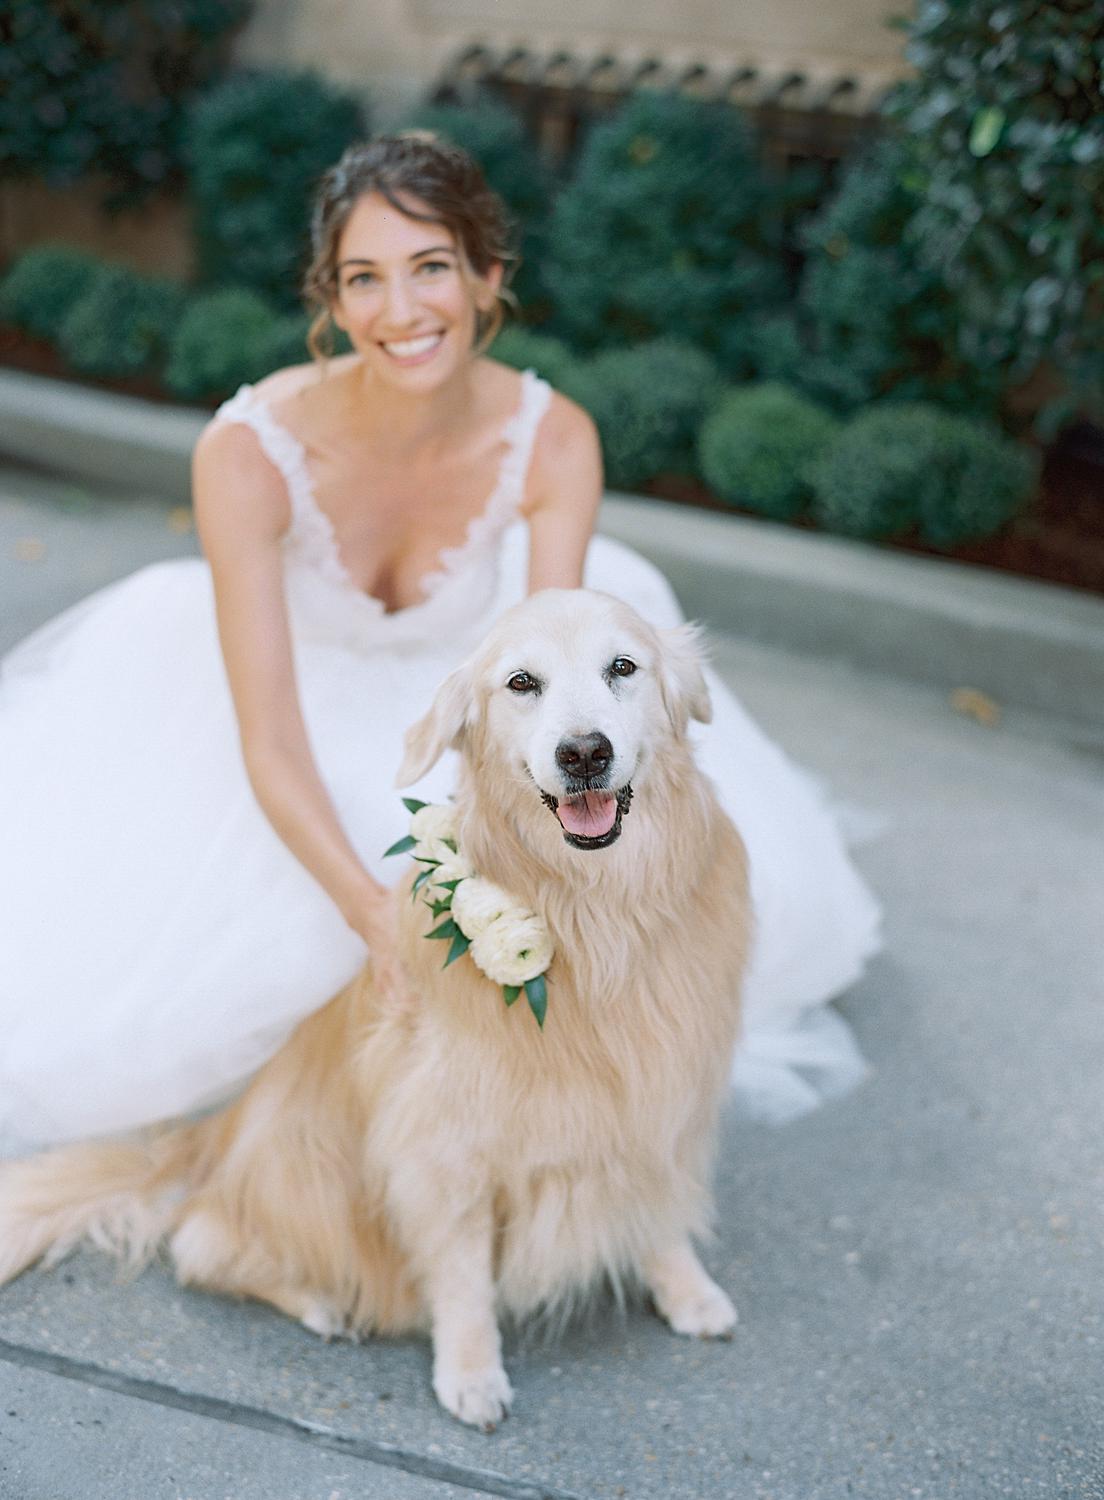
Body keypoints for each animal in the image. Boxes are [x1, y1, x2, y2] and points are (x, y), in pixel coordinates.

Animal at [0, 585, 750, 1428]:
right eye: (522, 683)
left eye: (623, 667)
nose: (583, 752)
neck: (601, 912)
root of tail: (213, 1134)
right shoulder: (442, 1142)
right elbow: (462, 1273)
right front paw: (470, 1370)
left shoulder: (666, 1094)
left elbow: (661, 1207)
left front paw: (686, 1289)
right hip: (304, 1171)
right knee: (202, 1244)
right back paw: (321, 1301)